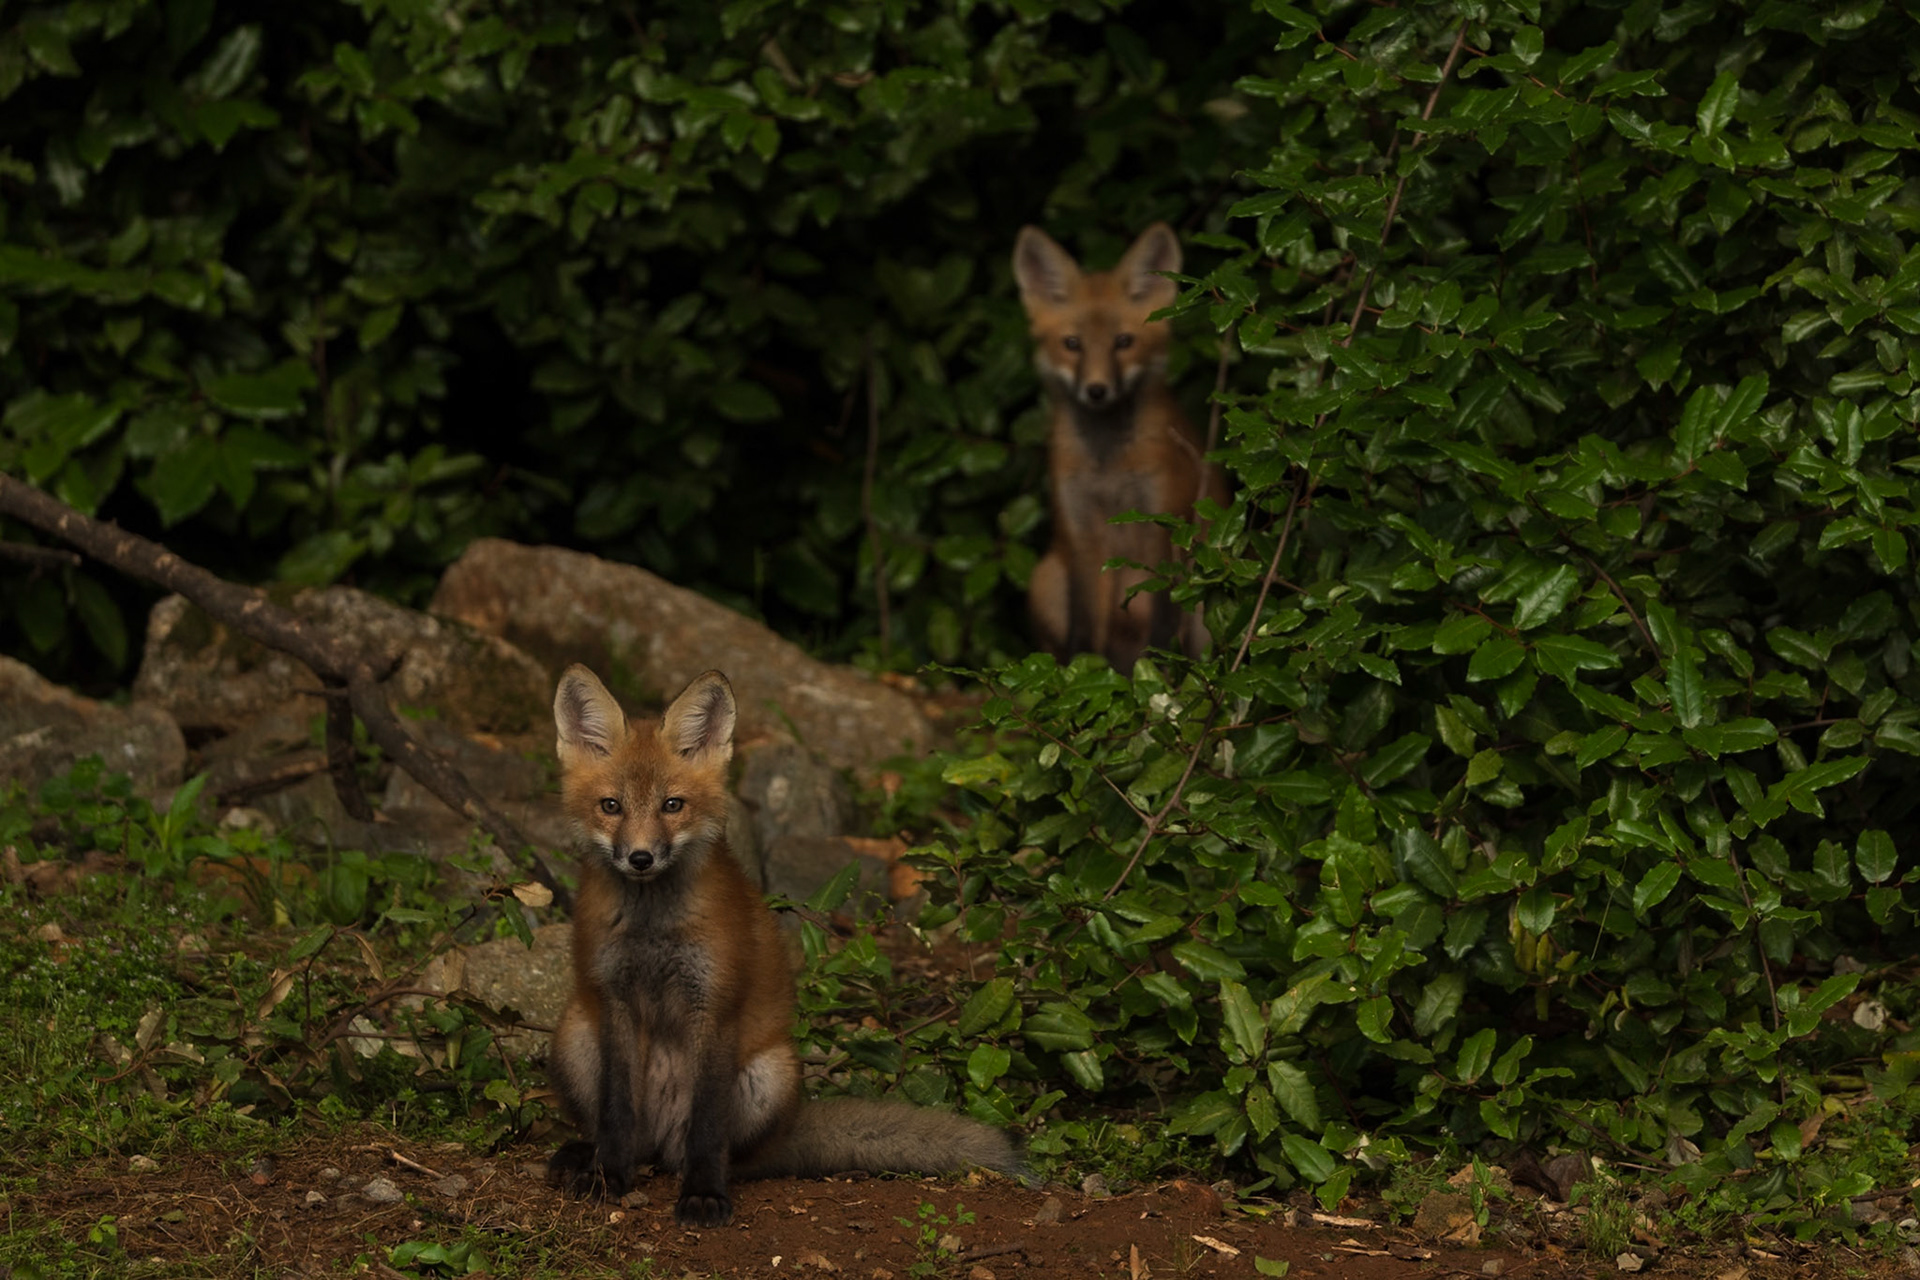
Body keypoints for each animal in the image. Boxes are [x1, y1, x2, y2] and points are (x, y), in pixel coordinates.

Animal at [545, 664, 1025, 1226]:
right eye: (611, 806)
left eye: (672, 806)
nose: (640, 858)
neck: (653, 928)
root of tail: (661, 1143)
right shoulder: (615, 999)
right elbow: (616, 1112)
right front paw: (608, 1177)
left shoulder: (716, 1005)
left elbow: (707, 1125)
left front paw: (704, 1194)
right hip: (576, 1030)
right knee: (619, 1132)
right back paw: (586, 1154)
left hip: (770, 1072)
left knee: (725, 1153)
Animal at [1013, 221, 1228, 671]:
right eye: (1072, 344)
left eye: (1124, 342)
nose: (1097, 390)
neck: (1107, 467)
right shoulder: (1081, 532)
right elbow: (1084, 626)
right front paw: (1077, 677)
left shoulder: (1165, 523)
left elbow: (1164, 623)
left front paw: (1162, 676)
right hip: (1046, 578)